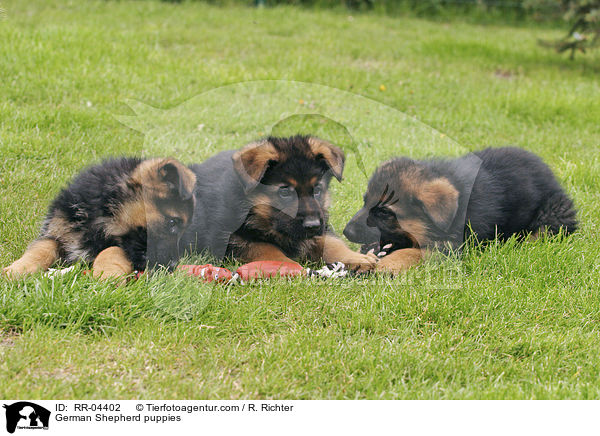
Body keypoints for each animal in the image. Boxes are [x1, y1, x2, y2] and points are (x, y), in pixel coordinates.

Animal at [4, 157, 197, 280]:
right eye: (172, 222)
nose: (172, 266)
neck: (101, 217)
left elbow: (111, 250)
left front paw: (108, 275)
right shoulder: (56, 231)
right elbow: (40, 249)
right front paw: (17, 269)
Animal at [180, 135, 378, 270]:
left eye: (317, 190)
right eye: (284, 192)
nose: (313, 225)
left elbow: (331, 242)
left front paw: (355, 258)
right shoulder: (231, 238)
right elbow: (266, 248)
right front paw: (290, 265)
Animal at [344, 148, 580, 274]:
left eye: (384, 212)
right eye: (365, 202)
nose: (346, 232)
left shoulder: (455, 247)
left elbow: (414, 251)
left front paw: (387, 264)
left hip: (555, 211)